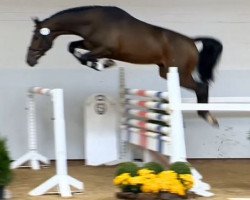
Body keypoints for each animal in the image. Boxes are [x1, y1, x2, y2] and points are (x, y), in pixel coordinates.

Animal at [26, 5, 223, 126]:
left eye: (36, 37)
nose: (29, 60)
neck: (93, 22)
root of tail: (191, 42)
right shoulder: (88, 44)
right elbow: (72, 47)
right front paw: (100, 63)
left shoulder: (104, 49)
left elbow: (86, 57)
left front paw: (103, 64)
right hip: (166, 72)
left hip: (180, 74)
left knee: (201, 87)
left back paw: (207, 116)